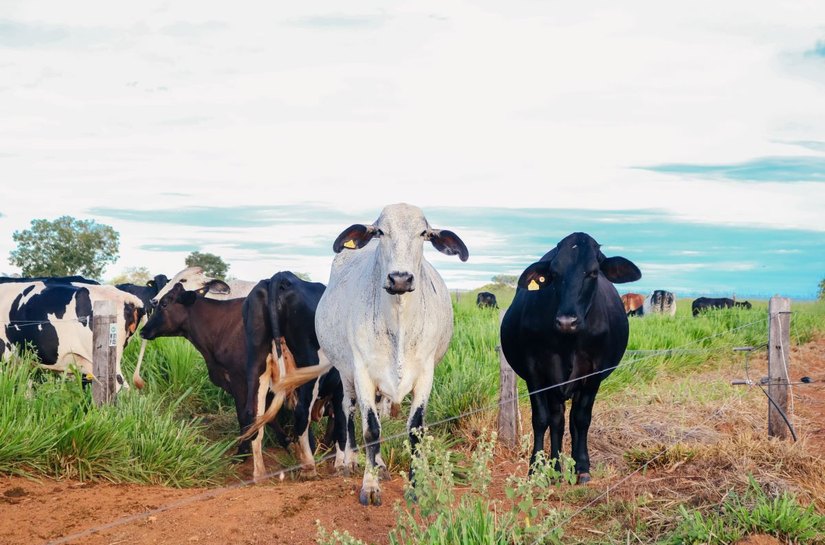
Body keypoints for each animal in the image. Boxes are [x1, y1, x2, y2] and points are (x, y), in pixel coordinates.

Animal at [312, 204, 466, 506]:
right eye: (380, 232)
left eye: (424, 233)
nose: (400, 278)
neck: (398, 321)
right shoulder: (361, 372)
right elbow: (371, 430)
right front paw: (369, 486)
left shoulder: (425, 374)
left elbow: (415, 430)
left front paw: (416, 486)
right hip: (345, 373)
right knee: (347, 411)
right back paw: (349, 460)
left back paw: (381, 465)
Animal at [498, 232, 640, 482]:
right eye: (554, 274)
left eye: (593, 272)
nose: (566, 321)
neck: (569, 342)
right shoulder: (536, 372)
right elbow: (542, 419)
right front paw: (536, 467)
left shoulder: (594, 373)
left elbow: (582, 419)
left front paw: (582, 466)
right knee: (558, 420)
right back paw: (555, 468)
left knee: (572, 419)